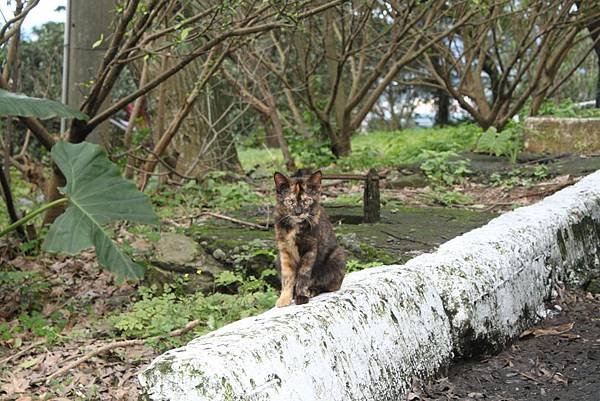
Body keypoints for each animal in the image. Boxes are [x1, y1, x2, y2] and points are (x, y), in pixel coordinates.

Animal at [274, 170, 344, 306]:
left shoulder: (310, 249)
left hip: (337, 256)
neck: (295, 227)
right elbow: (287, 277)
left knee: (326, 285)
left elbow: (303, 274)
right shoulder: (285, 251)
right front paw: (284, 299)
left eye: (307, 201)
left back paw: (310, 291)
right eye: (290, 201)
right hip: (277, 259)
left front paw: (301, 296)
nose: (298, 212)